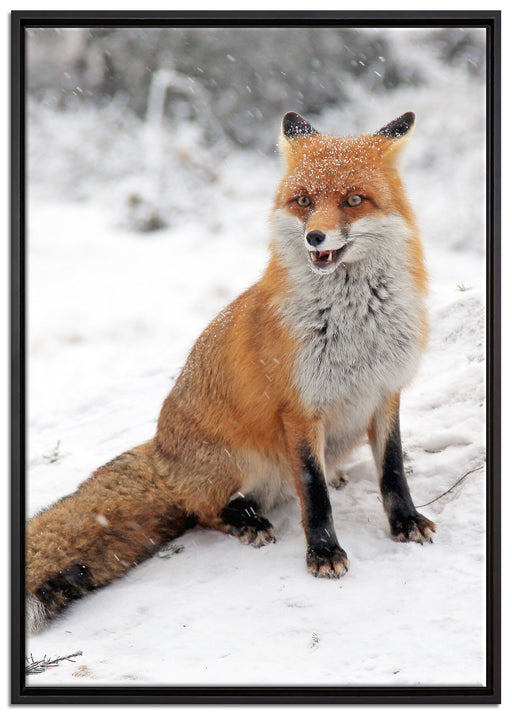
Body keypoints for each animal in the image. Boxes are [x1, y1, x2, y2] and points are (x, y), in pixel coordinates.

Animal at [26, 110, 435, 633]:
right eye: (304, 202)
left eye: (353, 200)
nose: (315, 237)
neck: (355, 328)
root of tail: (161, 453)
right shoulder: (299, 410)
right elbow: (313, 492)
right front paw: (323, 552)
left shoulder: (385, 391)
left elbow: (392, 471)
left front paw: (405, 522)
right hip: (238, 461)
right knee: (204, 510)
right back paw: (246, 521)